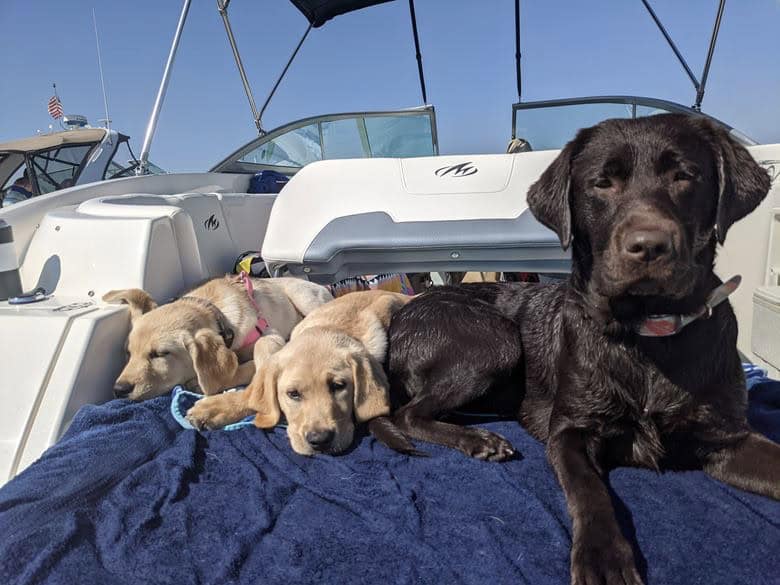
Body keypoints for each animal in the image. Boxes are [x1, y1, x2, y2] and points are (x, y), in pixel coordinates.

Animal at [103, 276, 332, 400]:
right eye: (128, 352)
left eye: (160, 354)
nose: (119, 389)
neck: (216, 312)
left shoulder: (268, 331)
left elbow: (255, 353)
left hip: (303, 296)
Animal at [186, 290, 412, 454]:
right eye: (292, 394)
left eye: (339, 386)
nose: (320, 440)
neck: (330, 327)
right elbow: (252, 394)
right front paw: (215, 408)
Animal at [386, 115, 776, 584]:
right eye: (602, 183)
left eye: (685, 176)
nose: (649, 245)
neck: (646, 332)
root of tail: (398, 319)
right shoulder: (570, 431)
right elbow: (590, 492)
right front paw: (602, 556)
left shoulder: (727, 439)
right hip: (495, 342)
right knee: (408, 414)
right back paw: (478, 439)